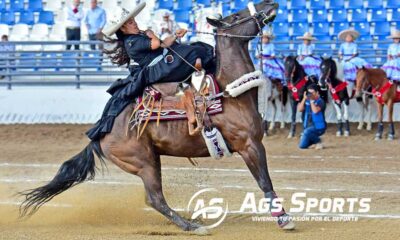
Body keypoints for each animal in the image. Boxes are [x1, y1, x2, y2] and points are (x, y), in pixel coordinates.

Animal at [18, 0, 296, 234]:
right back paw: (193, 226)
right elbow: (264, 182)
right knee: (155, 198)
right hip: (145, 162)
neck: (229, 93)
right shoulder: (249, 145)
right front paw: (284, 220)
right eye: (236, 16)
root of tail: (101, 134)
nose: (270, 3)